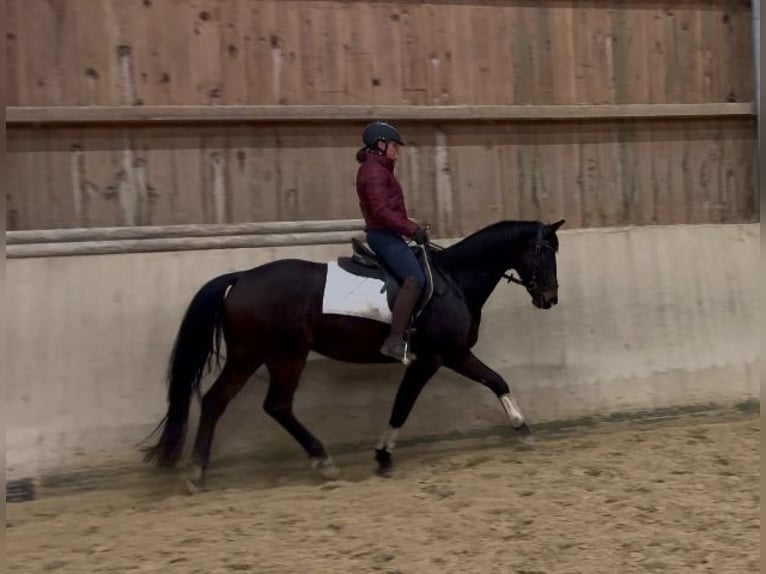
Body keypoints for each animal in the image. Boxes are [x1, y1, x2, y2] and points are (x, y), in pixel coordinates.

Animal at [144, 217, 564, 490]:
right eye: (543, 250)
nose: (549, 298)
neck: (455, 280)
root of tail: (241, 278)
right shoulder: (431, 359)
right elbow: (402, 406)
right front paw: (383, 456)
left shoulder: (455, 354)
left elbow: (496, 380)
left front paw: (522, 428)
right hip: (285, 355)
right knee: (277, 405)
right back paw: (323, 462)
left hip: (247, 355)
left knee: (216, 401)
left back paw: (196, 473)